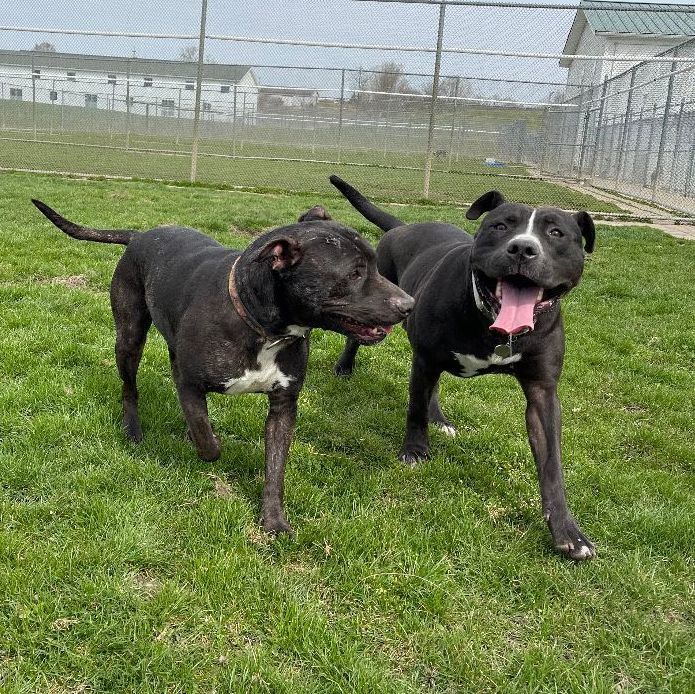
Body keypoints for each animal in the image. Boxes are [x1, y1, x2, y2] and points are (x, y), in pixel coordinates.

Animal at [32, 198, 414, 536]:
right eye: (355, 273)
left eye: (375, 265)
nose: (409, 304)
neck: (261, 326)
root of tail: (141, 235)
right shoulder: (189, 382)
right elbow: (208, 442)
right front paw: (205, 443)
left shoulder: (284, 405)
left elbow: (275, 468)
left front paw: (274, 521)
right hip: (128, 338)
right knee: (130, 387)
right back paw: (132, 428)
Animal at [328, 177, 596, 564]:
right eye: (500, 226)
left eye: (556, 233)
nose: (523, 248)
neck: (494, 324)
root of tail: (402, 226)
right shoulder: (425, 357)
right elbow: (414, 410)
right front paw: (415, 451)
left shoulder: (542, 392)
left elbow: (552, 466)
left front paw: (568, 531)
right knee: (360, 340)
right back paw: (345, 367)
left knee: (432, 388)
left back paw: (439, 418)